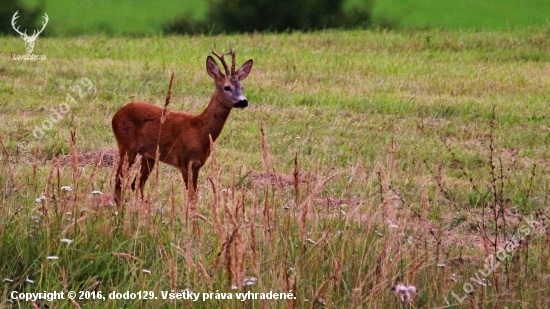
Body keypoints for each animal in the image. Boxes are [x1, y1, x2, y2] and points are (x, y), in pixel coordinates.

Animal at [112, 46, 254, 205]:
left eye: (242, 86)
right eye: (227, 87)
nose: (243, 101)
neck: (199, 131)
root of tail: (115, 115)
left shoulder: (197, 164)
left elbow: (194, 195)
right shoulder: (184, 160)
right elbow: (190, 194)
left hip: (148, 155)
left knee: (135, 184)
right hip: (126, 146)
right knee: (119, 180)